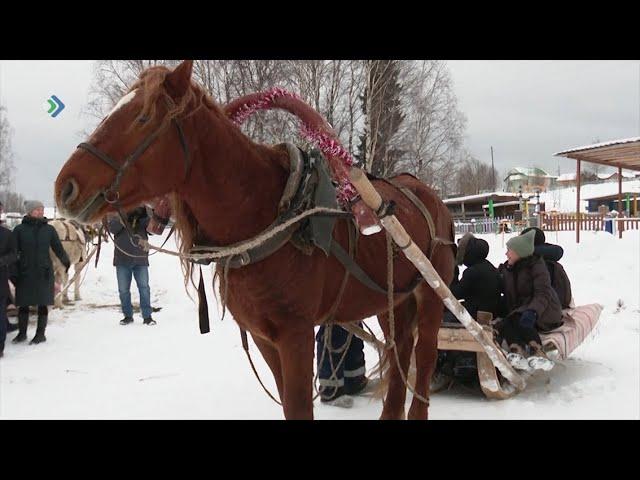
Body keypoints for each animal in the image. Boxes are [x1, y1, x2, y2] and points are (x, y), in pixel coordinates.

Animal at [55, 61, 456, 420]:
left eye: (142, 117)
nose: (65, 188)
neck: (270, 216)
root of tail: (429, 196)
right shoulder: (265, 337)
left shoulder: (296, 334)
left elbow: (299, 407)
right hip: (392, 301)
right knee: (399, 353)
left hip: (432, 294)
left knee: (423, 359)